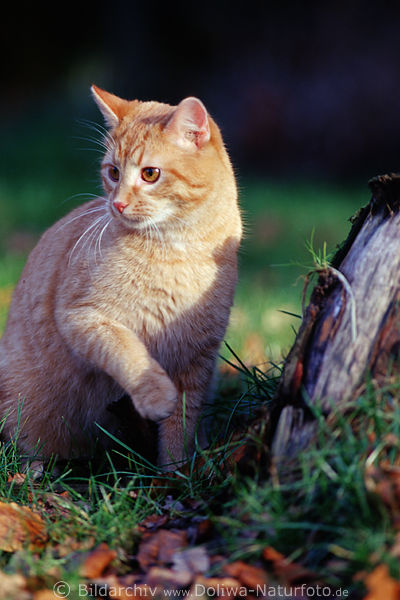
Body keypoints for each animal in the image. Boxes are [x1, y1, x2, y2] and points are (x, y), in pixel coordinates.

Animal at [0, 85, 242, 468]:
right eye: (113, 172)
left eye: (150, 174)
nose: (118, 204)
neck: (177, 251)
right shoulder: (84, 318)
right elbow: (130, 354)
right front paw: (156, 397)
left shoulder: (199, 358)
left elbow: (182, 424)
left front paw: (175, 473)